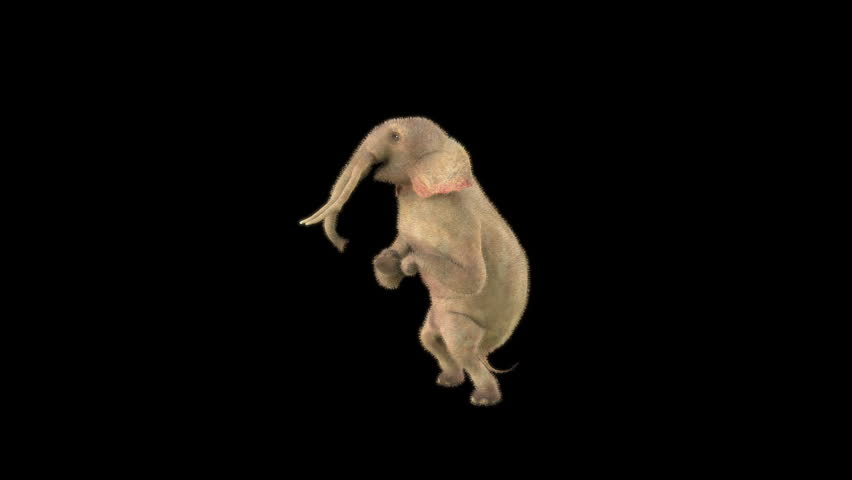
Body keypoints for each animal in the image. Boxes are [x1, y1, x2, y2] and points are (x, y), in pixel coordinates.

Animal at [300, 117, 529, 406]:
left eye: (396, 137)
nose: (344, 243)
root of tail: (487, 350)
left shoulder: (463, 225)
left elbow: (473, 278)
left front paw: (408, 265)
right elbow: (394, 258)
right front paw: (388, 262)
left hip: (462, 321)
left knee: (460, 346)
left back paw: (482, 399)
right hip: (435, 316)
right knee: (428, 339)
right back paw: (447, 380)